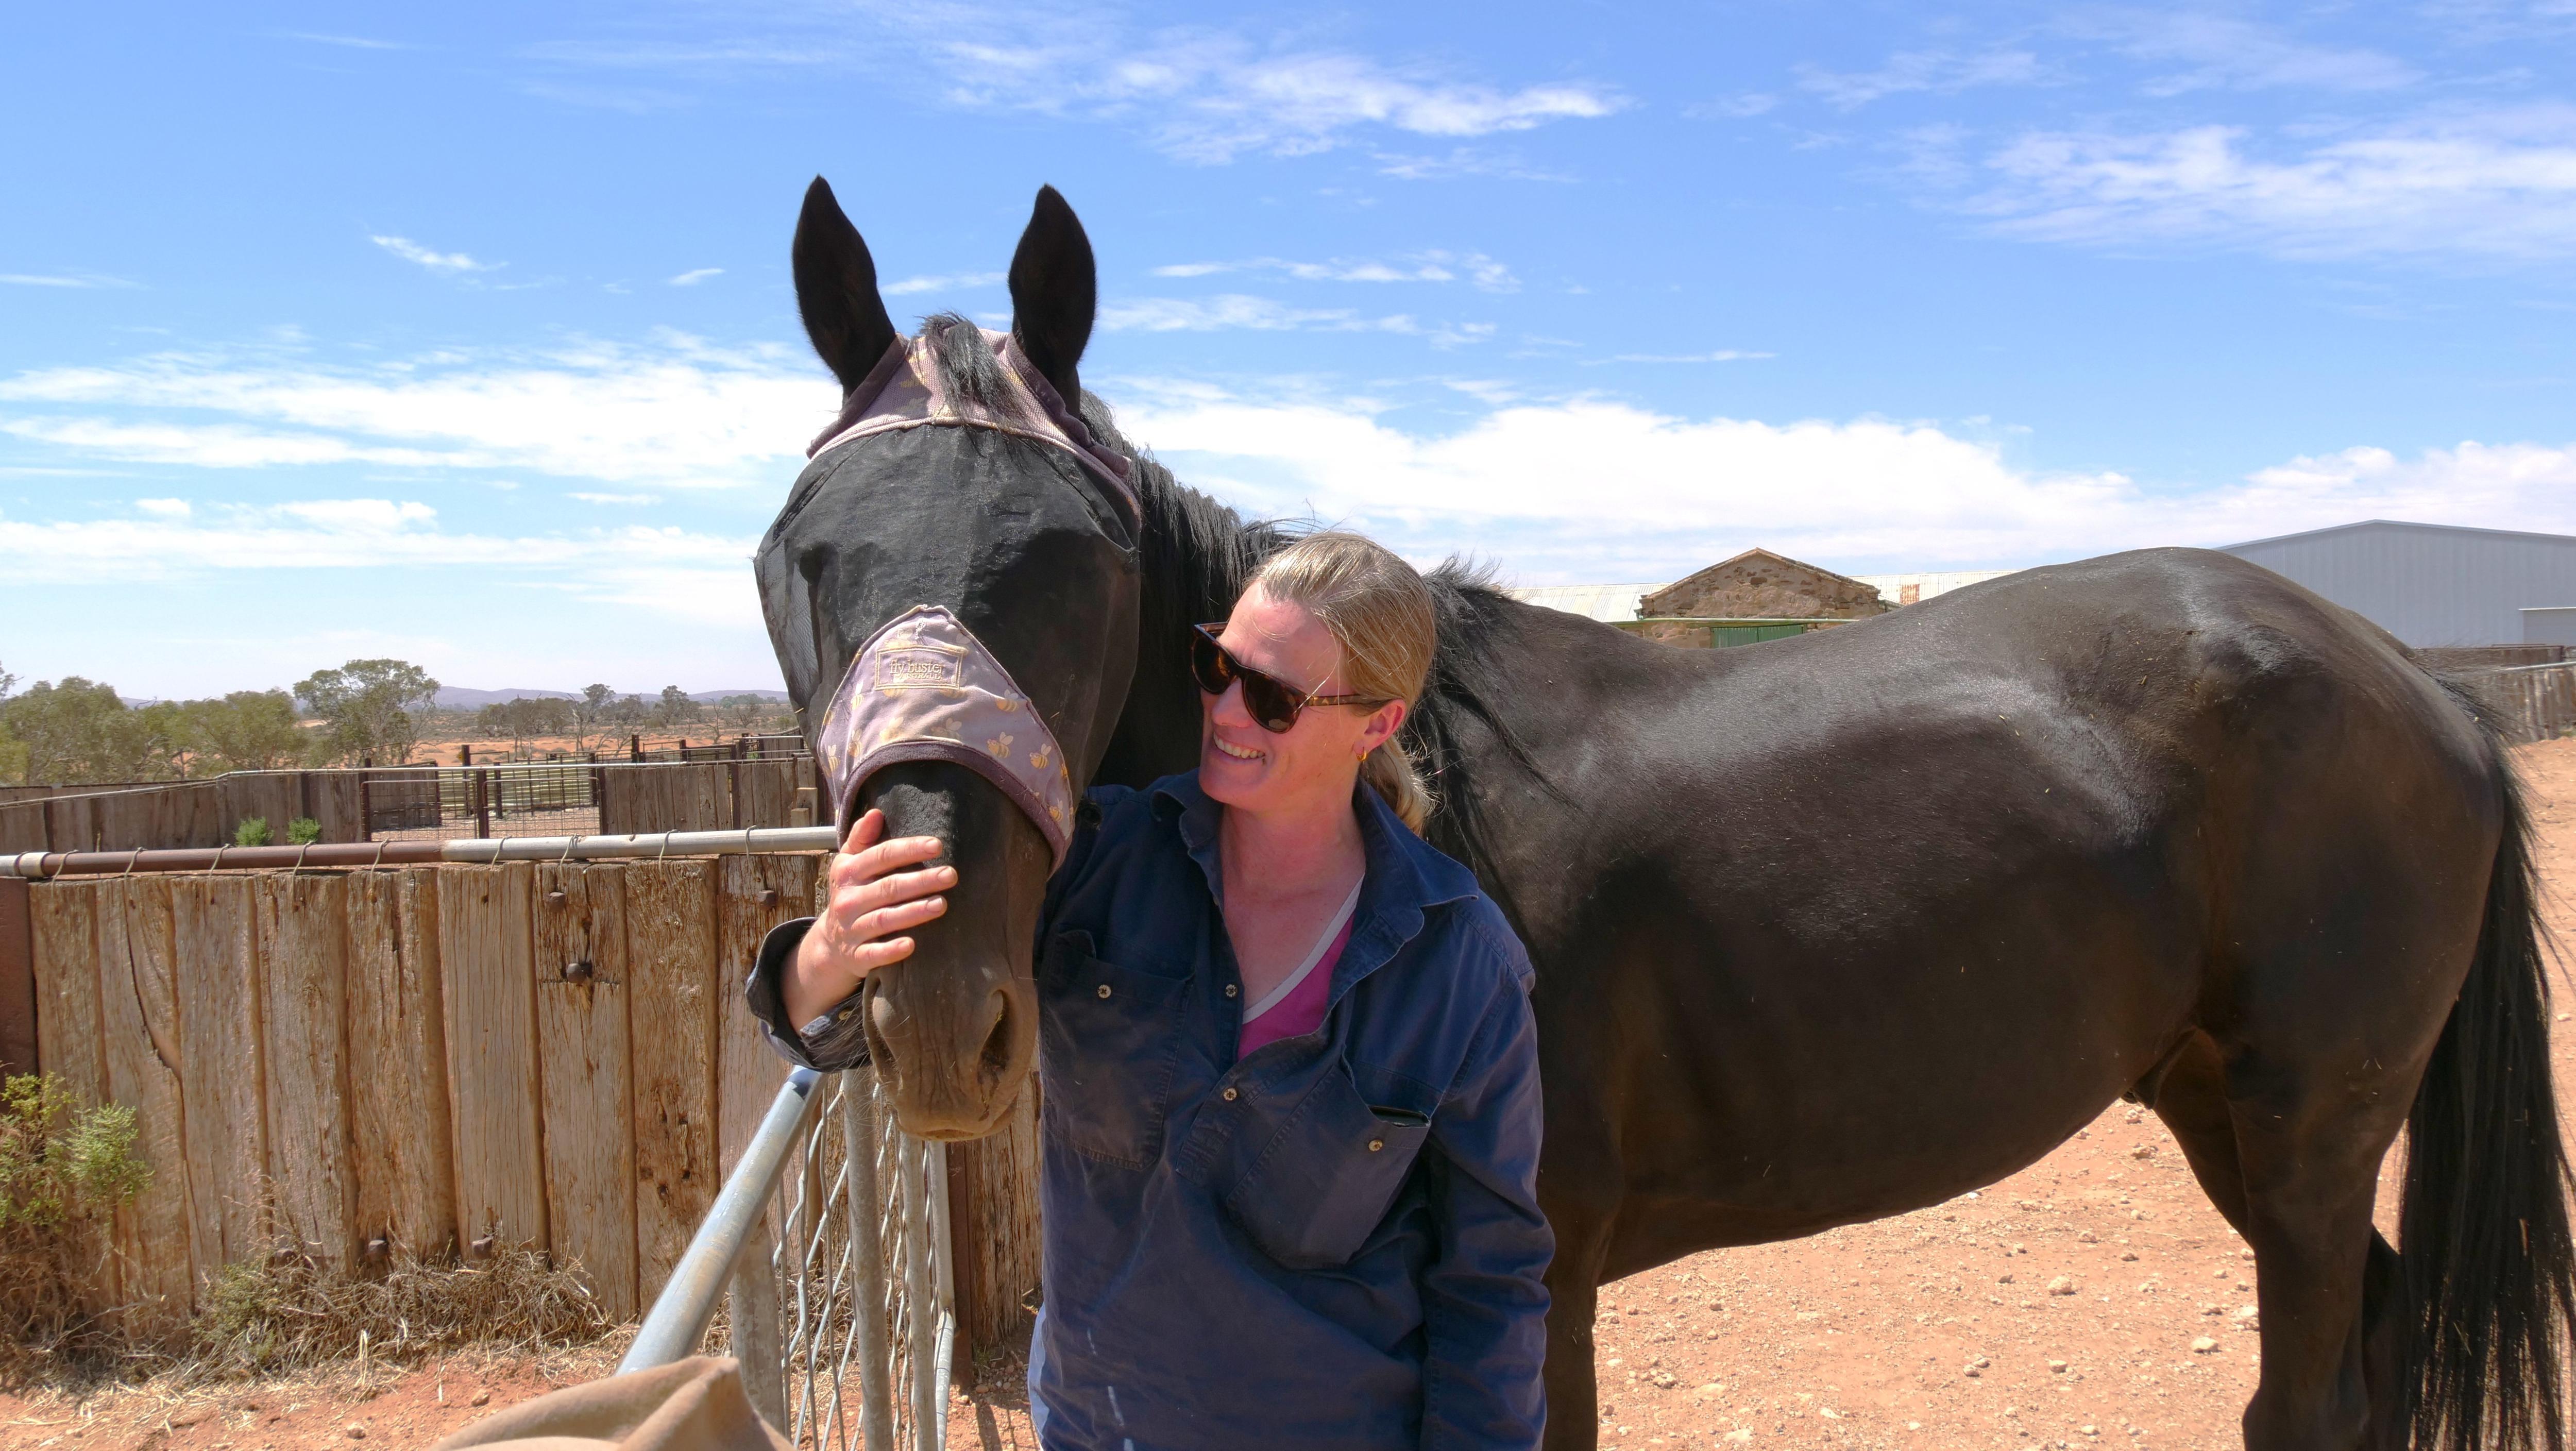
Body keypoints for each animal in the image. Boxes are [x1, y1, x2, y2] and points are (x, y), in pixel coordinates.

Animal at [755, 177, 2576, 1451]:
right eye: (798, 554)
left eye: (1085, 556)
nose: (934, 1007)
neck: (1431, 809)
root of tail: (2416, 687)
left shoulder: (1538, 1277)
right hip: (2214, 1106)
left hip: (2310, 1128)